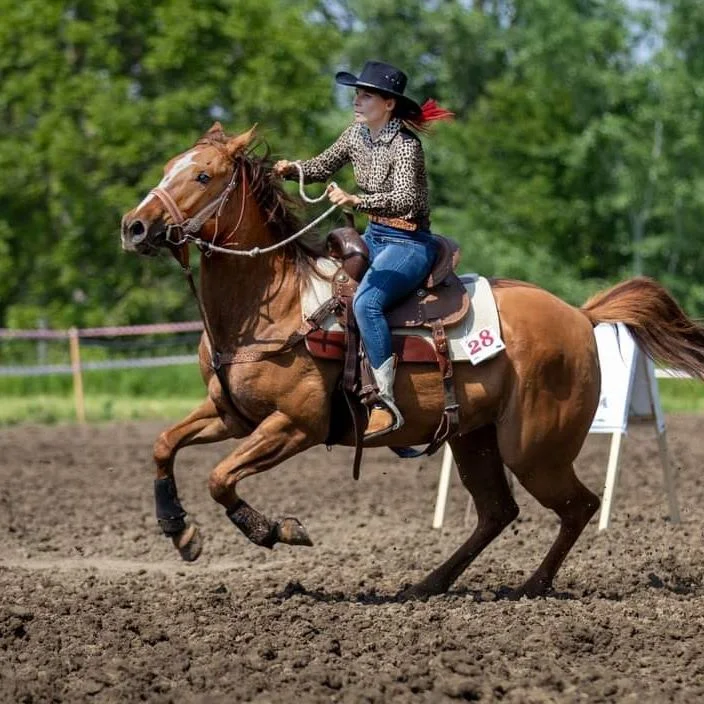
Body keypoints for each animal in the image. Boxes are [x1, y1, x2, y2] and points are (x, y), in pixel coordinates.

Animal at [119, 124, 704, 596]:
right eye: (167, 167)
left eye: (202, 175)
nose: (134, 227)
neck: (276, 305)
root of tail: (580, 315)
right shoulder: (232, 415)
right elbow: (163, 444)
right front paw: (180, 531)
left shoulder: (296, 424)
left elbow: (221, 477)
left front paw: (276, 530)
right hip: (476, 439)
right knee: (499, 511)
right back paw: (428, 584)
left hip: (535, 449)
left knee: (577, 506)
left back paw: (530, 587)